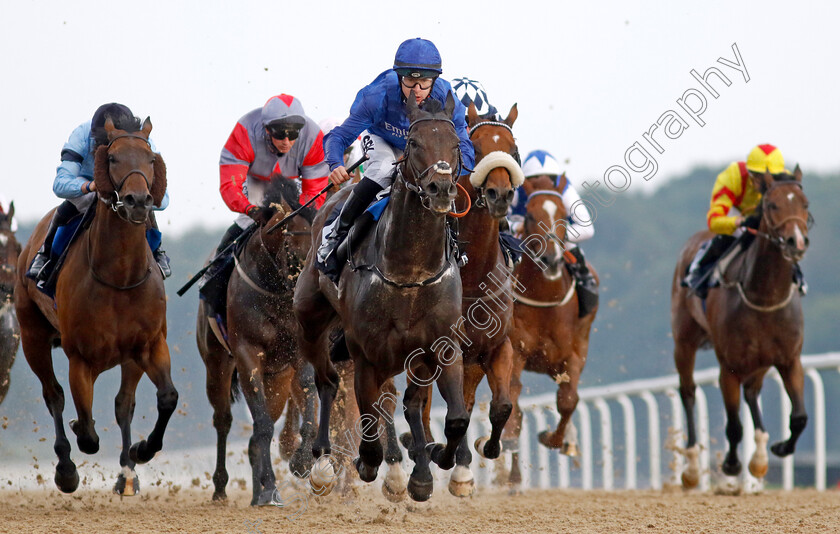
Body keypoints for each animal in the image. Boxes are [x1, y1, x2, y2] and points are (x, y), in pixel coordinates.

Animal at [13, 119, 176, 496]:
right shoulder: (81, 359)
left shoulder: (149, 345)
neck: (118, 275)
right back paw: (66, 469)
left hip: (129, 358)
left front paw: (141, 450)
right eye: (112, 158)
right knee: (53, 395)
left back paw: (127, 474)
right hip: (32, 337)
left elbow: (167, 398)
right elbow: (86, 430)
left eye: (150, 158)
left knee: (124, 404)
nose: (138, 201)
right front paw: (75, 444)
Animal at [197, 178, 318, 508]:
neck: (274, 292)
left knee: (254, 437)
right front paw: (269, 489)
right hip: (216, 365)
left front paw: (302, 460)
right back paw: (222, 488)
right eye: (293, 248)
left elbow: (307, 394)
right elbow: (262, 424)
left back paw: (257, 490)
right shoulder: (247, 355)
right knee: (223, 420)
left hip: (277, 379)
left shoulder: (297, 353)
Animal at [294, 92, 466, 502]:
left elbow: (455, 418)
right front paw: (368, 463)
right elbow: (369, 422)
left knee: (410, 403)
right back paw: (323, 464)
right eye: (414, 143)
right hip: (309, 320)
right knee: (327, 381)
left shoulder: (443, 345)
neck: (409, 274)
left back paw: (419, 472)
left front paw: (438, 459)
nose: (440, 189)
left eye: (455, 144)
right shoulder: (367, 355)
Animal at [498, 180, 596, 490]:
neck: (545, 299)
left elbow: (568, 400)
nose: (550, 259)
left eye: (565, 215)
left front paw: (555, 439)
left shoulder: (574, 354)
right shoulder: (515, 350)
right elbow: (513, 403)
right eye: (529, 215)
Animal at [672, 168, 812, 490]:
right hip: (684, 340)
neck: (764, 296)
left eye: (805, 204)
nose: (796, 242)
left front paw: (779, 448)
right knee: (688, 391)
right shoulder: (729, 366)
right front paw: (731, 464)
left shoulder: (789, 359)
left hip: (760, 360)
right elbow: (734, 425)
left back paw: (759, 457)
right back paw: (693, 467)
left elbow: (799, 416)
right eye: (772, 204)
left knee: (752, 392)